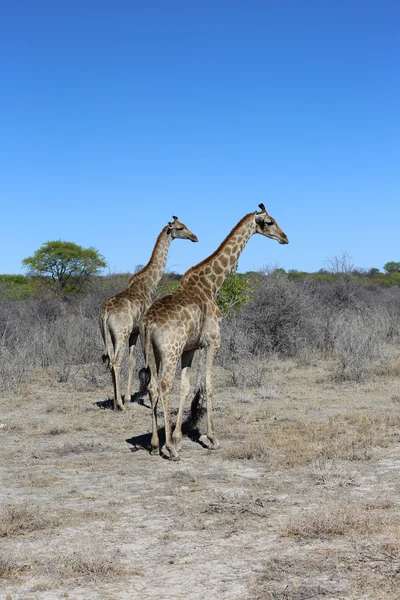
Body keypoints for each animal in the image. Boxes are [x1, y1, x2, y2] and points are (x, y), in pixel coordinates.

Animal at [100, 217, 198, 412]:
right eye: (180, 228)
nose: (194, 237)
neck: (148, 283)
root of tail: (105, 314)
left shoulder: (135, 332)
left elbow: (132, 361)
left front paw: (128, 397)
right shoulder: (141, 330)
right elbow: (145, 361)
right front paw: (130, 399)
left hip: (108, 335)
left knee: (110, 361)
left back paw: (115, 402)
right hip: (120, 333)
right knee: (116, 362)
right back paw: (119, 405)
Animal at [141, 204, 288, 462]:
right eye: (270, 222)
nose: (285, 238)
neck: (212, 284)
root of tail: (148, 322)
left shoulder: (190, 348)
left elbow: (186, 386)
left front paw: (178, 438)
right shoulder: (213, 342)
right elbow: (208, 384)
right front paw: (211, 439)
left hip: (153, 352)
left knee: (153, 386)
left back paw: (156, 444)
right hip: (169, 351)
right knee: (164, 385)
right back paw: (169, 450)